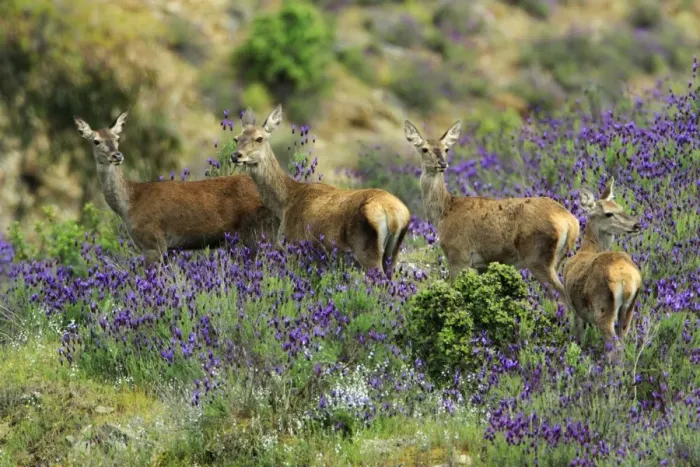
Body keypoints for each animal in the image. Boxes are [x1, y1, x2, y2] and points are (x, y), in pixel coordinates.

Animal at [74, 111, 279, 266]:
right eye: (96, 141)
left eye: (117, 138)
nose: (117, 155)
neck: (129, 203)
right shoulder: (166, 248)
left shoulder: (153, 242)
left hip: (258, 231)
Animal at [229, 105, 411, 278]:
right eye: (236, 138)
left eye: (259, 138)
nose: (236, 155)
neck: (286, 202)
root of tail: (394, 215)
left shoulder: (297, 243)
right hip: (393, 253)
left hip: (366, 249)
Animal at [403, 119, 580, 295]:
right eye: (424, 149)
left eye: (446, 149)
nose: (442, 163)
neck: (444, 212)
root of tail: (570, 222)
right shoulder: (483, 265)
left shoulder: (458, 255)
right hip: (558, 259)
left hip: (537, 256)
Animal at [562, 178, 643, 352]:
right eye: (608, 213)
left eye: (620, 207)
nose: (637, 225)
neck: (585, 250)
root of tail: (627, 281)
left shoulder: (575, 309)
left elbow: (578, 340)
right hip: (629, 310)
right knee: (623, 342)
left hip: (603, 309)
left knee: (614, 347)